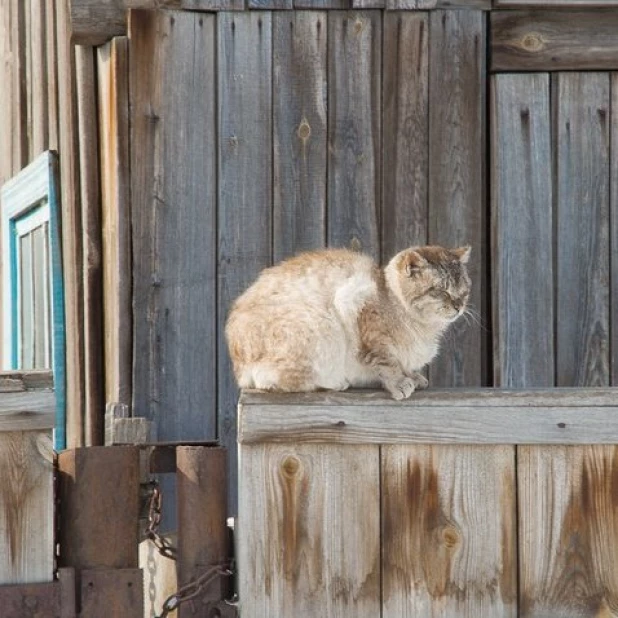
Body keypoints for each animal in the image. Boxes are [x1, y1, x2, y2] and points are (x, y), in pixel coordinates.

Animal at [224, 245, 470, 400]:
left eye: (464, 291)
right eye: (441, 291)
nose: (459, 306)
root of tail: (238, 365)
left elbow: (403, 365)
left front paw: (413, 377)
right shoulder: (358, 308)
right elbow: (388, 363)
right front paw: (400, 383)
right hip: (319, 327)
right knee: (268, 380)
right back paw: (334, 382)